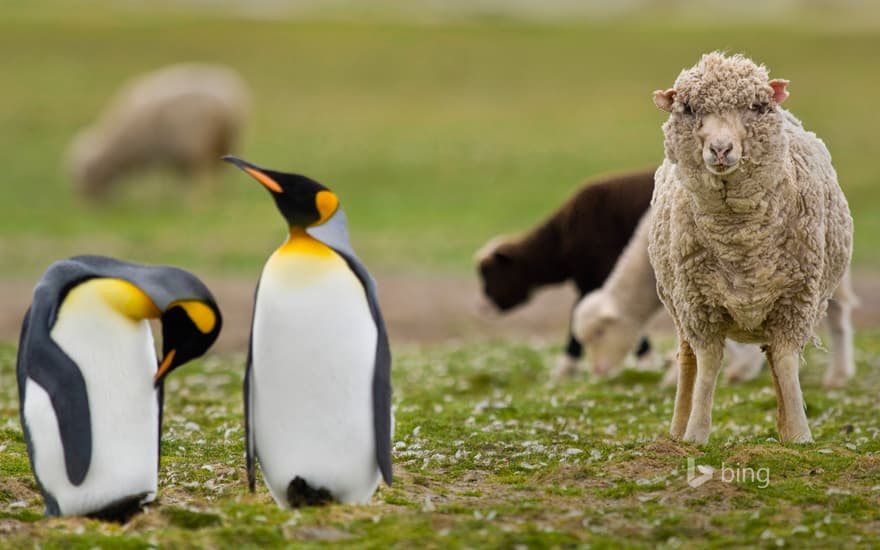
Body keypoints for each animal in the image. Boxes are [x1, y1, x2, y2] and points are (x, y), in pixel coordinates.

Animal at [648, 51, 852, 446]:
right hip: (678, 303)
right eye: (689, 108)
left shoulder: (795, 302)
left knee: (772, 358)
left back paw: (783, 426)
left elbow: (786, 362)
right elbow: (708, 364)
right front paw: (696, 433)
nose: (720, 149)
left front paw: (799, 435)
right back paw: (678, 429)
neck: (739, 242)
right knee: (687, 360)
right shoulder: (700, 306)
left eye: (757, 106)